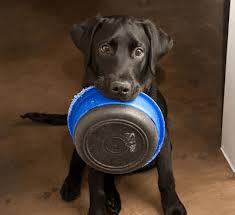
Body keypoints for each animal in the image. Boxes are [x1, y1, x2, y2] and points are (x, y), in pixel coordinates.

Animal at [22, 15, 187, 215]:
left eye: (139, 52)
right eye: (105, 49)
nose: (120, 88)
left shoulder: (164, 146)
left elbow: (166, 178)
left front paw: (174, 208)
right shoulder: (91, 143)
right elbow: (96, 186)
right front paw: (97, 210)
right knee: (78, 163)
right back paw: (74, 185)